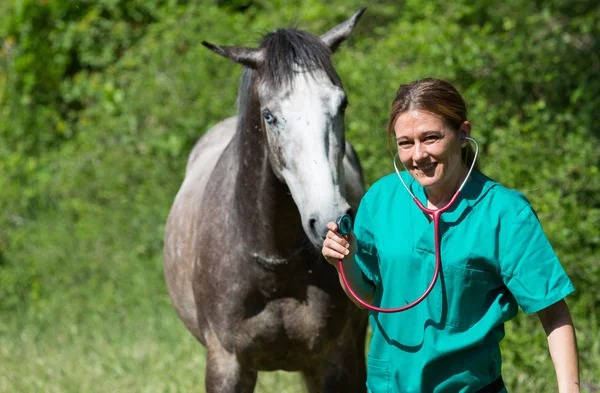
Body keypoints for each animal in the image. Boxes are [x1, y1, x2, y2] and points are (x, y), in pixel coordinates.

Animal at [164, 6, 370, 392]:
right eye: (269, 115)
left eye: (342, 104)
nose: (331, 220)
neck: (275, 272)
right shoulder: (227, 366)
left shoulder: (333, 361)